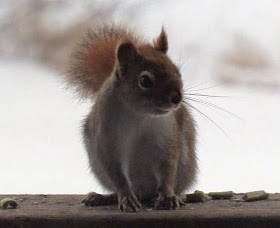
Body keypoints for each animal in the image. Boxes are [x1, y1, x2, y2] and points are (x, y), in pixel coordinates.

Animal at [65, 23, 197, 212]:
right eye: (145, 80)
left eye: (177, 72)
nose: (177, 97)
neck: (139, 115)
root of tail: (145, 193)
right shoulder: (108, 140)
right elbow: (118, 175)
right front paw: (127, 198)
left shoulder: (166, 137)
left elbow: (167, 169)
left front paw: (168, 196)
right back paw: (103, 197)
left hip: (185, 167)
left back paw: (176, 196)